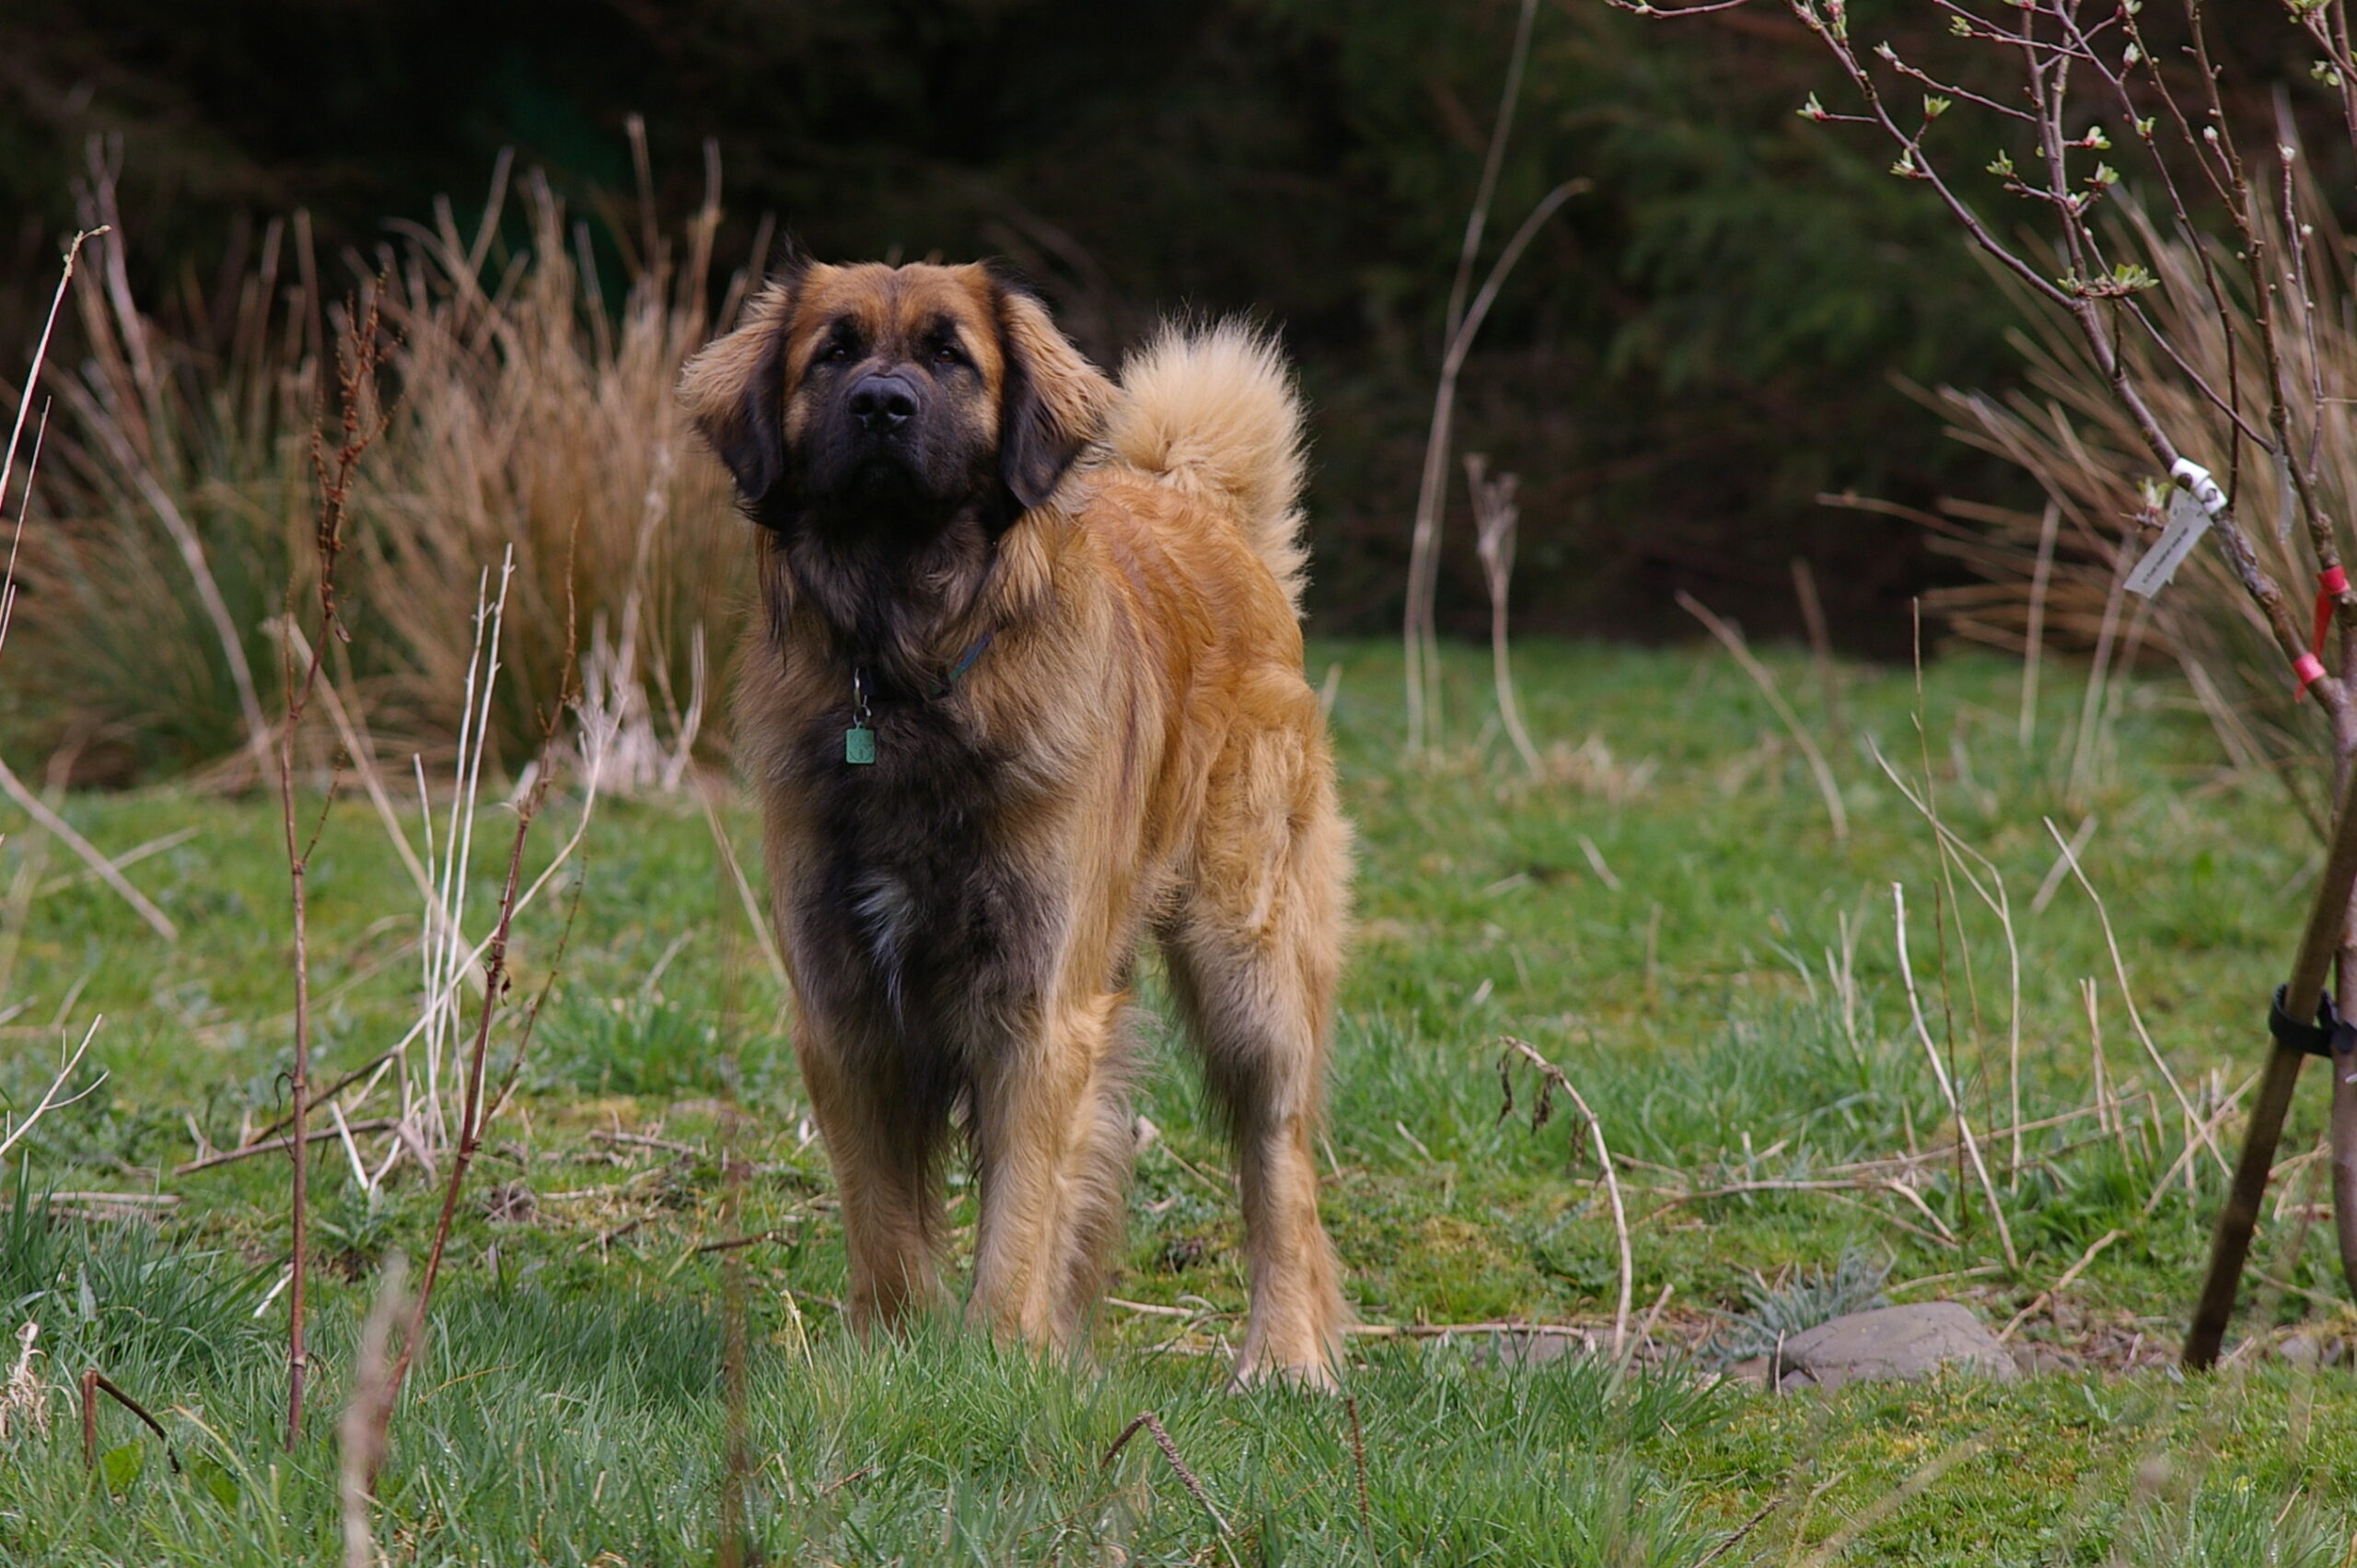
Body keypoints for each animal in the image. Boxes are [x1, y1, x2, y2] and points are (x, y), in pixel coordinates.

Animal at [674, 257, 1357, 1386]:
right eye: (834, 353)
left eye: (952, 356)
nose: (882, 405)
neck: (904, 673)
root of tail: (1196, 506)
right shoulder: (843, 1006)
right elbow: (885, 1216)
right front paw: (894, 1351)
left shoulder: (1036, 1008)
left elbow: (1019, 1215)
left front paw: (995, 1360)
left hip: (1248, 971)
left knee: (1279, 1170)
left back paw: (1285, 1355)